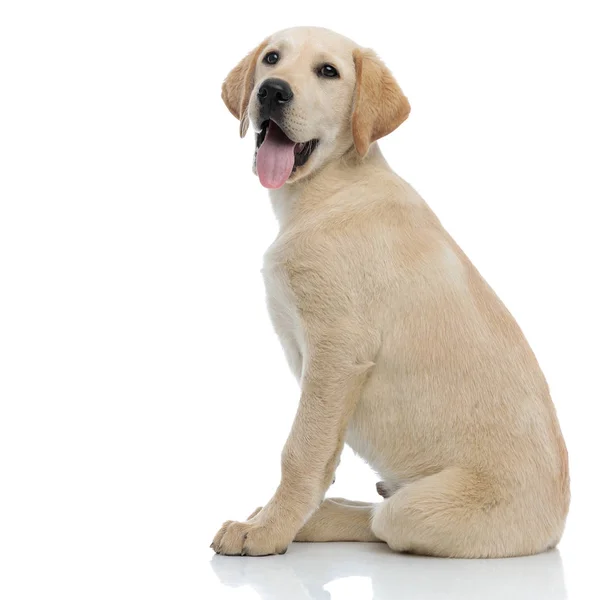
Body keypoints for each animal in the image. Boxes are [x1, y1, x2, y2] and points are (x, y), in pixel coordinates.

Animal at [212, 23, 572, 556]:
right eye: (271, 58)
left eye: (328, 71)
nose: (272, 91)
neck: (331, 187)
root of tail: (558, 524)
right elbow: (320, 456)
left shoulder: (338, 353)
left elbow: (301, 450)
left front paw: (269, 531)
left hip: (422, 509)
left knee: (383, 521)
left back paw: (316, 521)